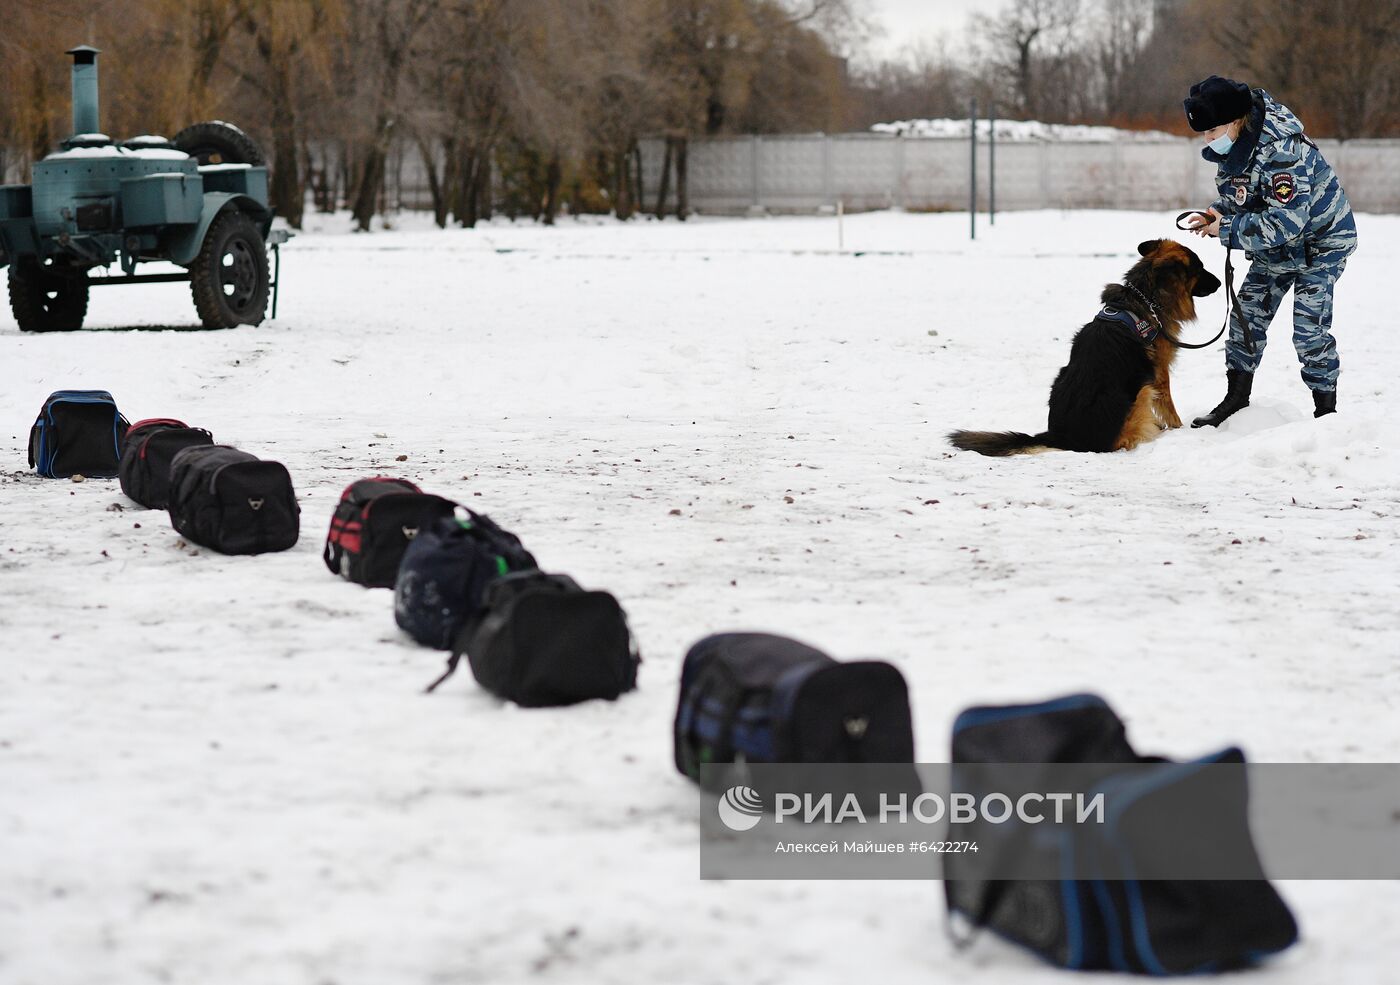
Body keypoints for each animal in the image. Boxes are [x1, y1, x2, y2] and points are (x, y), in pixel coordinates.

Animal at [946, 236, 1220, 456]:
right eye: (1200, 268)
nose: (1220, 283)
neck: (1146, 297)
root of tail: (1059, 437)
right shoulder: (1159, 372)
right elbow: (1169, 406)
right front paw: (1178, 428)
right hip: (1140, 391)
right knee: (1123, 440)